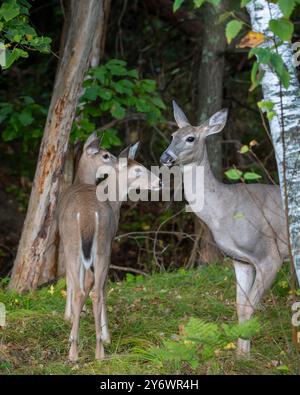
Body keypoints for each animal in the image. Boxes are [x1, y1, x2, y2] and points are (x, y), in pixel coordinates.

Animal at [57, 136, 159, 362]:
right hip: (100, 246)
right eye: (138, 170)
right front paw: (103, 335)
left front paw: (72, 326)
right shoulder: (108, 242)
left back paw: (77, 351)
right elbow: (97, 286)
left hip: (77, 244)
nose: (160, 182)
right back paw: (98, 351)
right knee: (94, 289)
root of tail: (87, 215)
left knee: (82, 287)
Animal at [159, 101, 288, 358]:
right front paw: (240, 354)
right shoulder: (240, 260)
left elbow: (249, 307)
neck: (224, 212)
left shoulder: (270, 256)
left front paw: (244, 356)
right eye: (172, 135)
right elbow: (240, 307)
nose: (165, 157)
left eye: (190, 138)